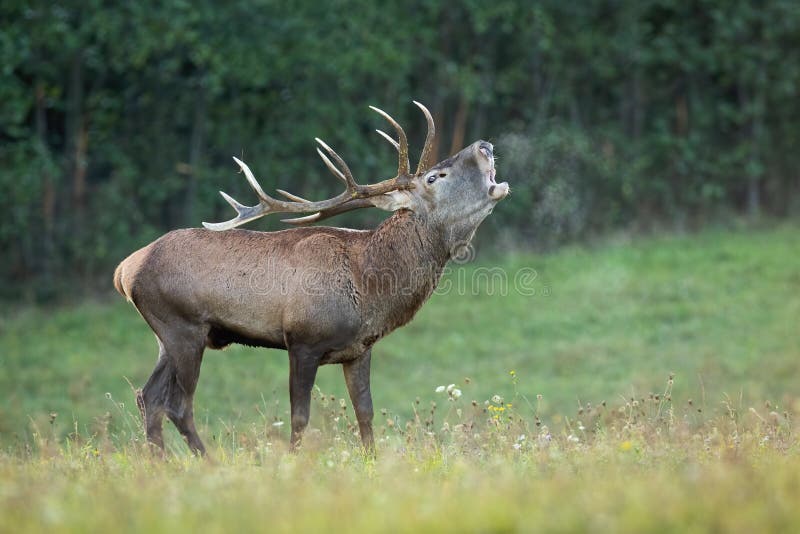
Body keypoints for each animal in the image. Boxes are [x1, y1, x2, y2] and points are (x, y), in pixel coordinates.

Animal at [113, 103, 510, 456]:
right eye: (433, 177)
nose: (484, 145)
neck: (369, 286)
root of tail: (124, 270)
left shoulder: (359, 349)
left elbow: (365, 415)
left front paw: (371, 464)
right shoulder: (302, 340)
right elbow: (300, 418)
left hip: (167, 337)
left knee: (148, 397)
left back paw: (161, 464)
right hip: (183, 327)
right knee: (178, 405)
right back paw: (206, 463)